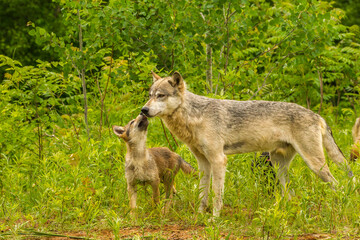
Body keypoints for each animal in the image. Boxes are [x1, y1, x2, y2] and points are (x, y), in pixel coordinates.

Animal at [140, 71, 352, 218]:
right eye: (150, 95)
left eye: (161, 95)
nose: (143, 110)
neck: (195, 116)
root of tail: (318, 115)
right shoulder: (203, 164)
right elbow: (203, 193)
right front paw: (198, 216)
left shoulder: (219, 160)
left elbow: (217, 195)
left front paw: (214, 219)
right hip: (279, 165)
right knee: (290, 193)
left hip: (315, 165)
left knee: (338, 185)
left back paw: (340, 208)